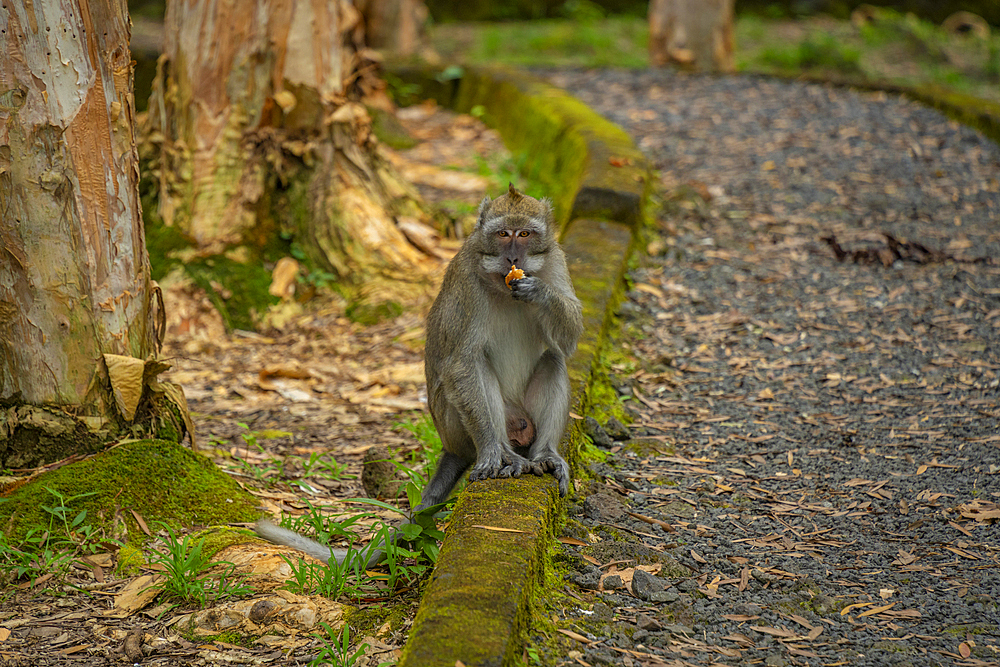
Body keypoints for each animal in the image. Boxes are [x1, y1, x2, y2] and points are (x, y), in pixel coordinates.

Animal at [258, 185, 584, 568]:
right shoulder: (465, 278)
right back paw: (504, 451)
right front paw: (494, 451)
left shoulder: (556, 259)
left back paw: (545, 453)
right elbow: (461, 363)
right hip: (455, 423)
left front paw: (539, 293)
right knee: (476, 368)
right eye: (504, 234)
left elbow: (569, 339)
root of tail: (452, 446)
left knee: (553, 359)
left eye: (526, 234)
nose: (512, 258)